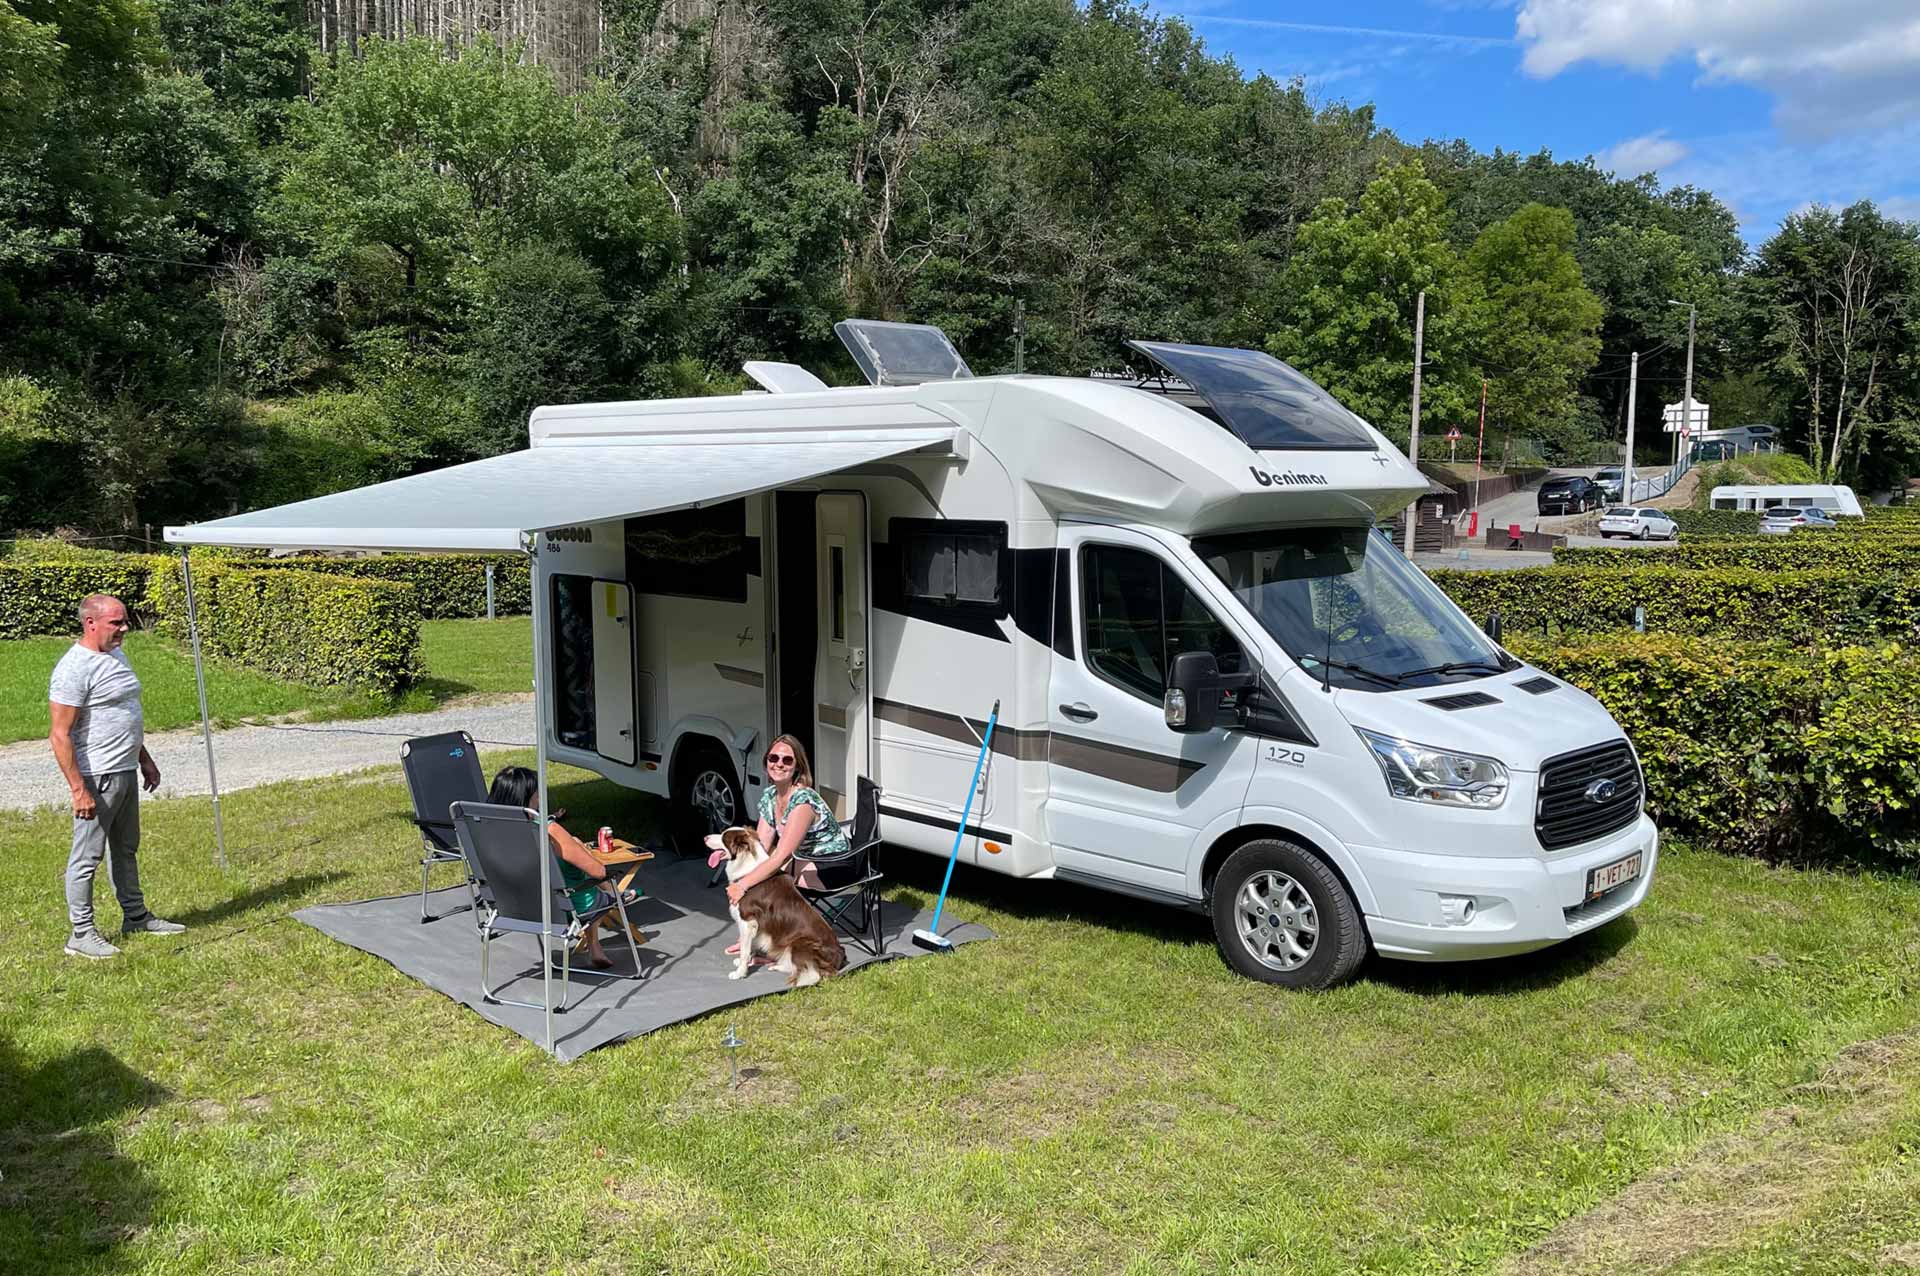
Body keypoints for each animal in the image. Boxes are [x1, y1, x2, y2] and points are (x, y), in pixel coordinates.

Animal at [710, 825, 844, 982]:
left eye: (723, 838)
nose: (704, 838)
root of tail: (839, 956)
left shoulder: (747, 920)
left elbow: (744, 949)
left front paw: (740, 973)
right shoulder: (756, 925)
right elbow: (751, 946)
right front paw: (749, 962)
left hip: (799, 943)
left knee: (811, 973)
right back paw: (775, 965)